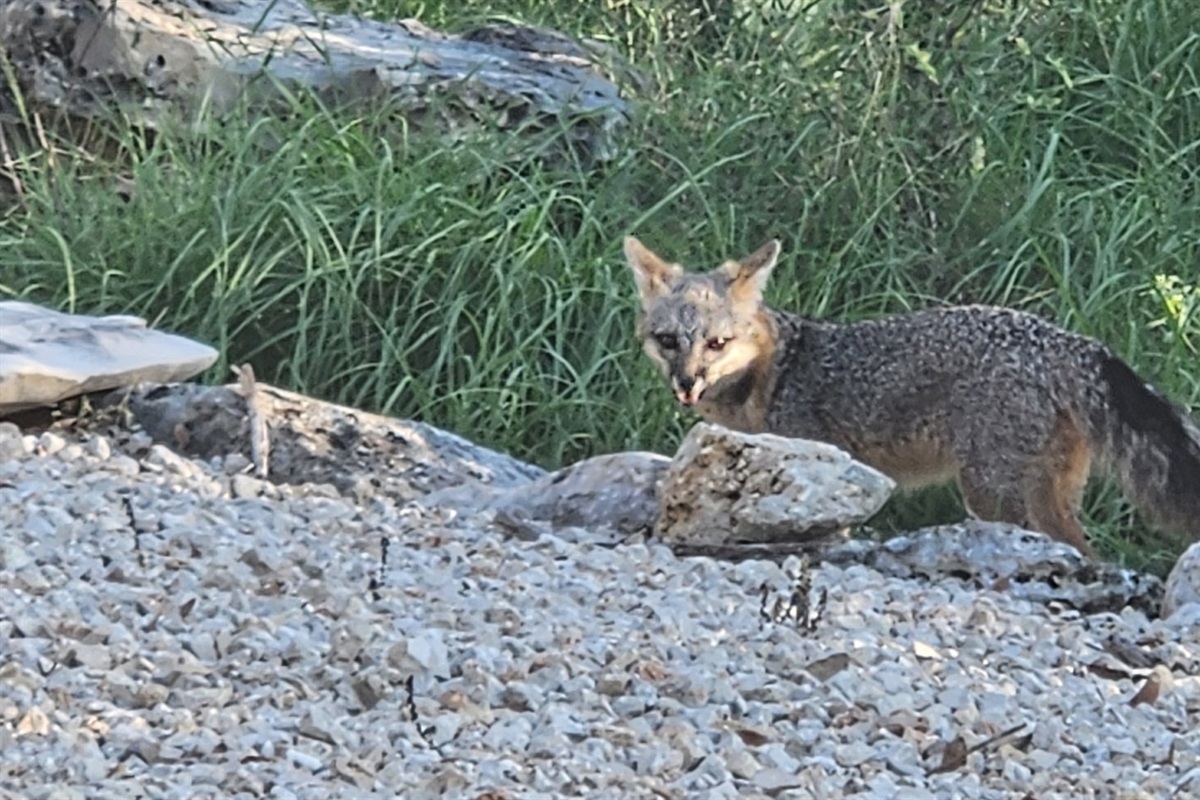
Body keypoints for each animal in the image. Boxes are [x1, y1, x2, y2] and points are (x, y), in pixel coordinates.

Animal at [625, 236, 1200, 559]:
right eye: (669, 341)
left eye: (717, 344)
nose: (687, 383)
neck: (776, 371)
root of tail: (1064, 338)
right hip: (1044, 494)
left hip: (990, 493)